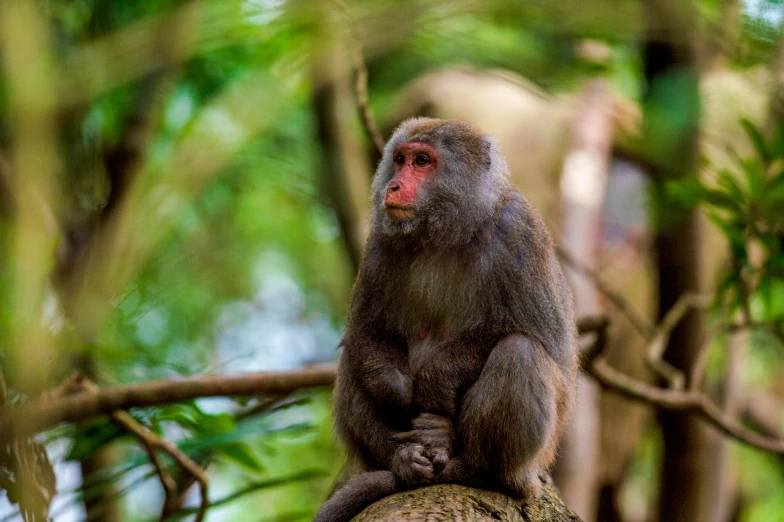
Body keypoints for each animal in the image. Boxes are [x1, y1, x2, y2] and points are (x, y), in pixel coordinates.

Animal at [314, 118, 580, 520]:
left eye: (422, 161)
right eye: (400, 159)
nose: (394, 185)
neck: (443, 233)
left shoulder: (519, 232)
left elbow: (541, 335)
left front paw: (435, 379)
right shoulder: (379, 243)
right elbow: (366, 331)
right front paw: (398, 392)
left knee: (520, 351)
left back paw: (484, 471)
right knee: (354, 359)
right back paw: (403, 459)